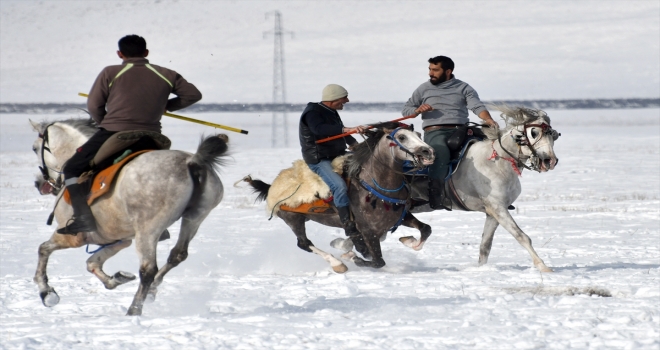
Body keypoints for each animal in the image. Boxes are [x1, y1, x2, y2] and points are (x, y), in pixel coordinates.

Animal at [30, 119, 229, 316]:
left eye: (34, 148)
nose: (39, 183)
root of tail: (192, 162)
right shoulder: (118, 239)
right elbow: (92, 263)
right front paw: (117, 279)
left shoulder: (72, 237)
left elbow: (43, 249)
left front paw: (47, 293)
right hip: (194, 218)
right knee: (177, 255)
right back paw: (152, 291)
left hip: (148, 230)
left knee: (148, 270)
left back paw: (134, 310)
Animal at [245, 121, 436, 272]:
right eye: (402, 137)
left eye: (418, 134)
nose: (428, 152)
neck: (375, 185)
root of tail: (271, 187)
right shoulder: (368, 231)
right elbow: (377, 262)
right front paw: (351, 256)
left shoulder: (401, 217)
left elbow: (426, 229)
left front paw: (408, 240)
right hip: (293, 219)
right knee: (304, 243)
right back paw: (337, 263)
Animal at [400, 105, 560, 272]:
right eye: (533, 132)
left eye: (554, 135)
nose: (549, 161)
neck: (496, 163)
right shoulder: (497, 208)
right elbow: (522, 236)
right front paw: (544, 267)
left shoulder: (494, 212)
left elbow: (485, 246)